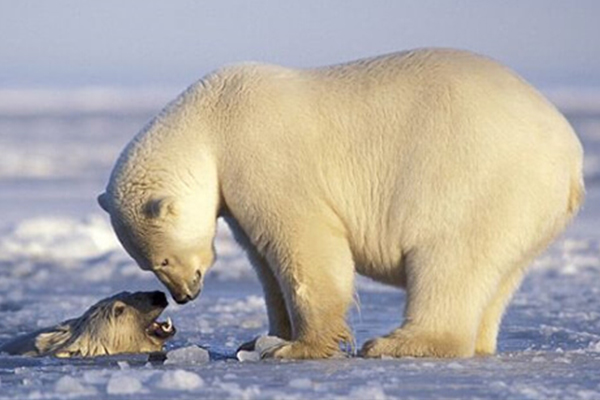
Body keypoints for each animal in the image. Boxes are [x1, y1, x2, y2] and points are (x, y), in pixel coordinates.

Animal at [97, 48, 580, 358]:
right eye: (148, 263)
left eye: (160, 260)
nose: (184, 295)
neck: (210, 118)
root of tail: (572, 156)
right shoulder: (235, 193)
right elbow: (264, 262)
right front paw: (260, 340)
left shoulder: (263, 155)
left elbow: (305, 245)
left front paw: (299, 347)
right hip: (525, 210)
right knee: (496, 277)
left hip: (479, 180)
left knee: (449, 259)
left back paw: (397, 343)